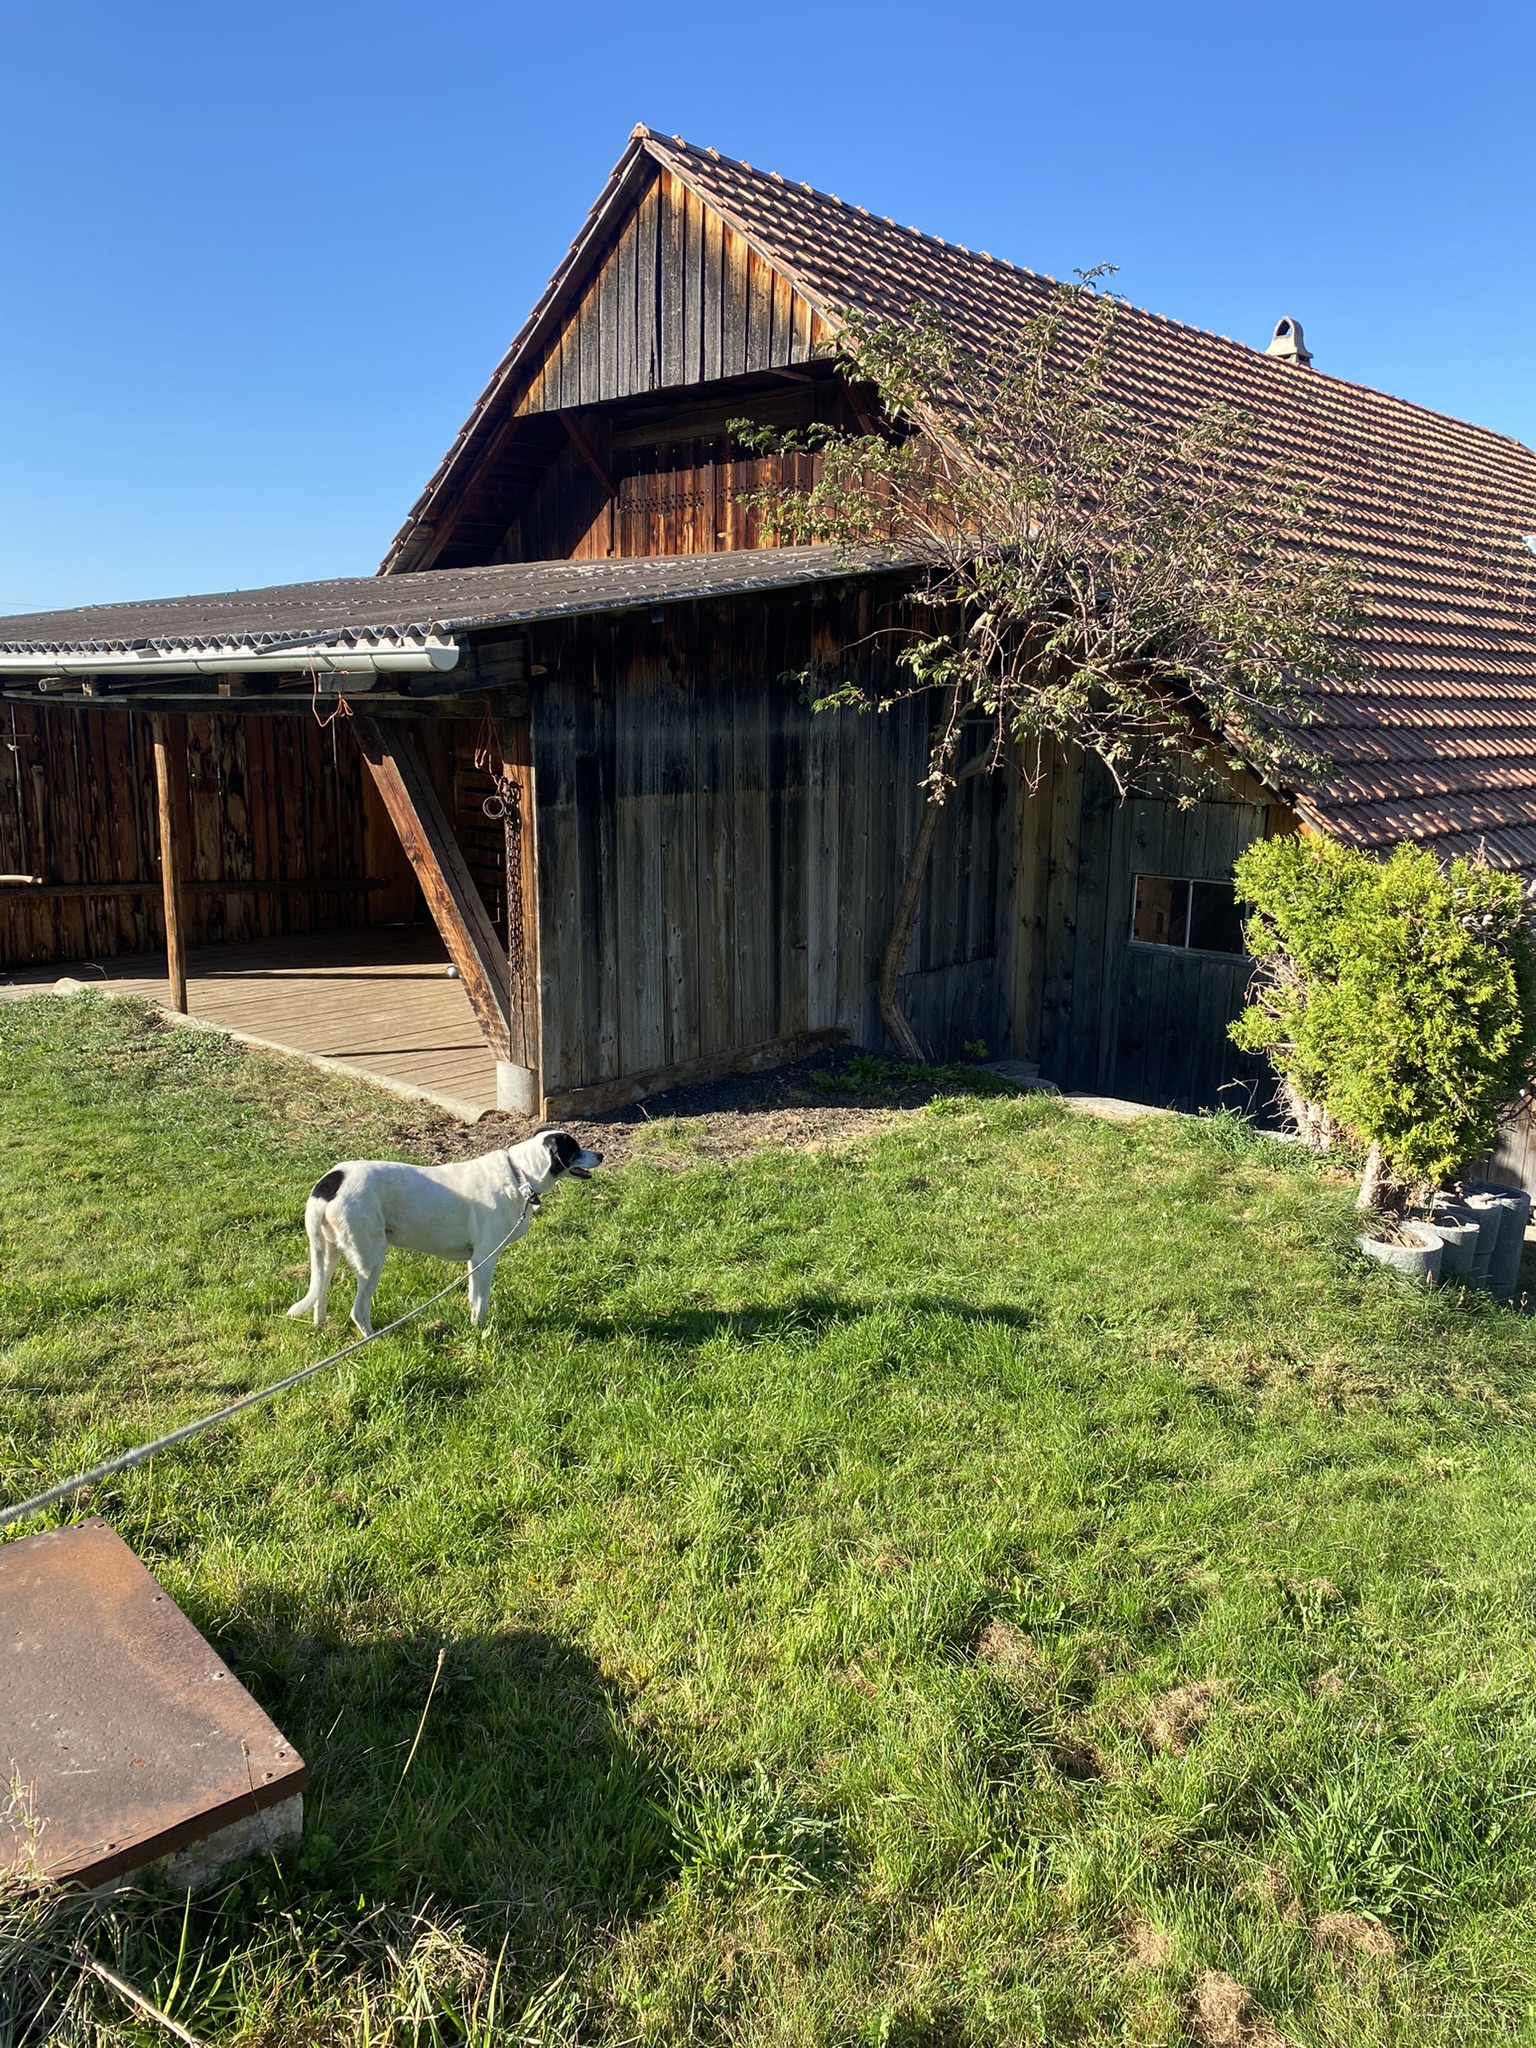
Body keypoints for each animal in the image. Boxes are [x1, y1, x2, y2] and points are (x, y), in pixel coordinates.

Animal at [287, 1129, 602, 1337]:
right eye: (575, 1148)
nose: (600, 1154)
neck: (519, 1175)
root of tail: (329, 1182)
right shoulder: (485, 1259)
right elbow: (481, 1301)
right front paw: (481, 1331)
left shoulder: (473, 1261)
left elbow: (473, 1298)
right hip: (370, 1258)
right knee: (358, 1310)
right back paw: (374, 1339)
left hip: (328, 1253)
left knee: (320, 1293)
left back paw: (321, 1327)